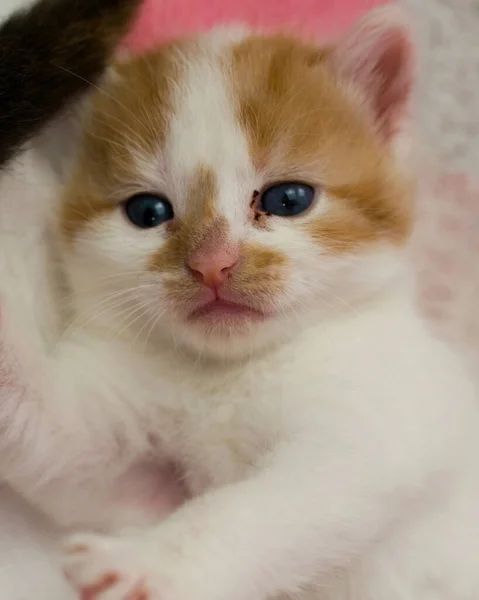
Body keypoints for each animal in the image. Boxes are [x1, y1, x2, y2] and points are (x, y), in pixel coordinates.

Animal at [0, 4, 479, 600]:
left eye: (288, 199)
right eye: (147, 211)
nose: (212, 263)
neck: (226, 374)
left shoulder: (386, 414)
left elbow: (263, 510)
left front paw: (147, 563)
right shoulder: (123, 466)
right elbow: (61, 444)